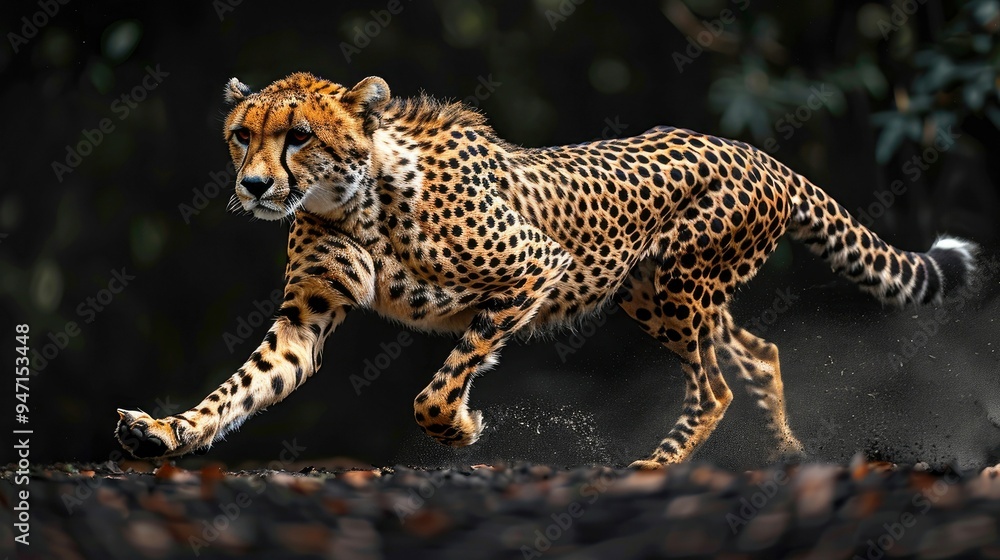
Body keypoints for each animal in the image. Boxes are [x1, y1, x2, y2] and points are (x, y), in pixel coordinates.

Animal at [115, 72, 977, 469]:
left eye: (297, 135)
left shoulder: (537, 271)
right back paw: (786, 456)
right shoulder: (306, 316)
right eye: (242, 133)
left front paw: (462, 428)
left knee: (716, 385)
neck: (355, 198)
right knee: (758, 355)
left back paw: (654, 467)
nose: (255, 186)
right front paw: (167, 430)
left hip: (675, 287)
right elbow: (245, 385)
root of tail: (754, 149)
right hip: (658, 293)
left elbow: (440, 385)